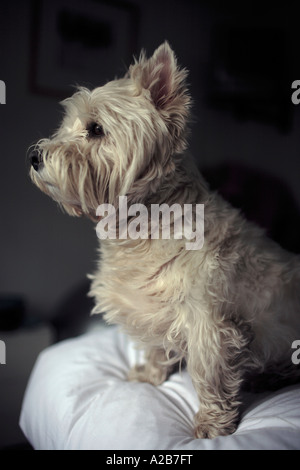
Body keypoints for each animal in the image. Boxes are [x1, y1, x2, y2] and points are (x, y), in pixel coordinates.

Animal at [28, 42, 300, 438]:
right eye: (69, 126)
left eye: (95, 129)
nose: (33, 155)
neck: (140, 227)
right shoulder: (150, 306)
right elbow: (156, 347)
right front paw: (150, 375)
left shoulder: (207, 321)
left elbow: (209, 373)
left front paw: (212, 425)